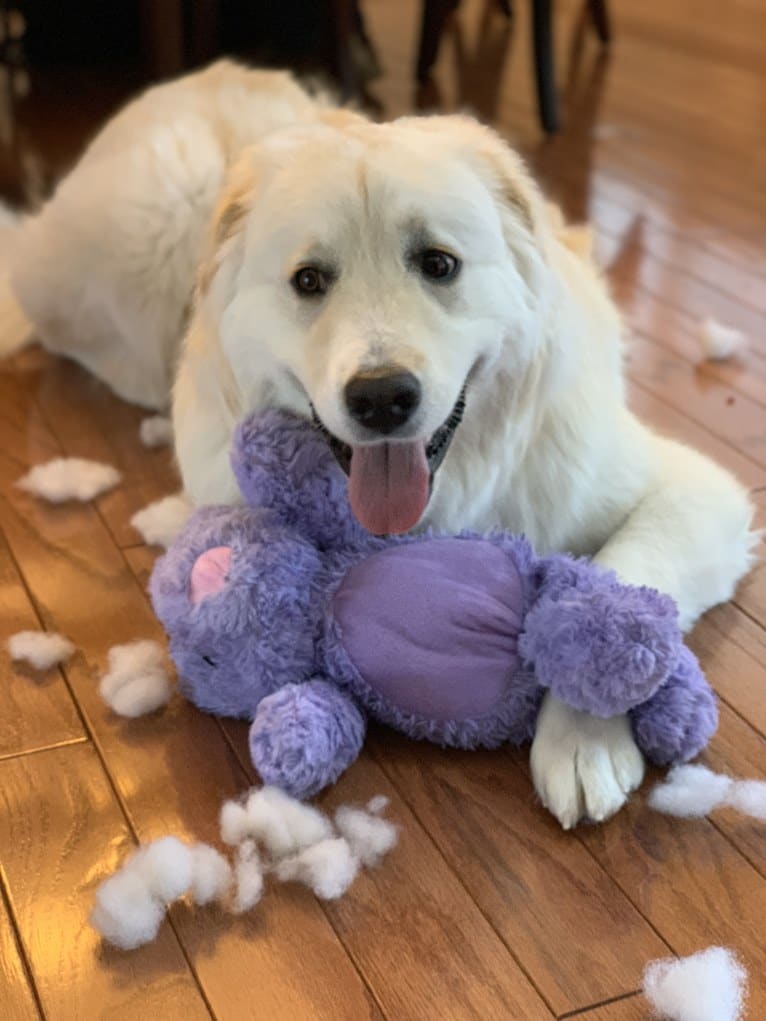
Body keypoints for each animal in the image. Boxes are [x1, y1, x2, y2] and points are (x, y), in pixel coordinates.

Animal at [9, 59, 759, 824]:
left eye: (438, 264)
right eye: (309, 280)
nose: (380, 398)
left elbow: (624, 576)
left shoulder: (691, 491)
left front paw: (582, 735)